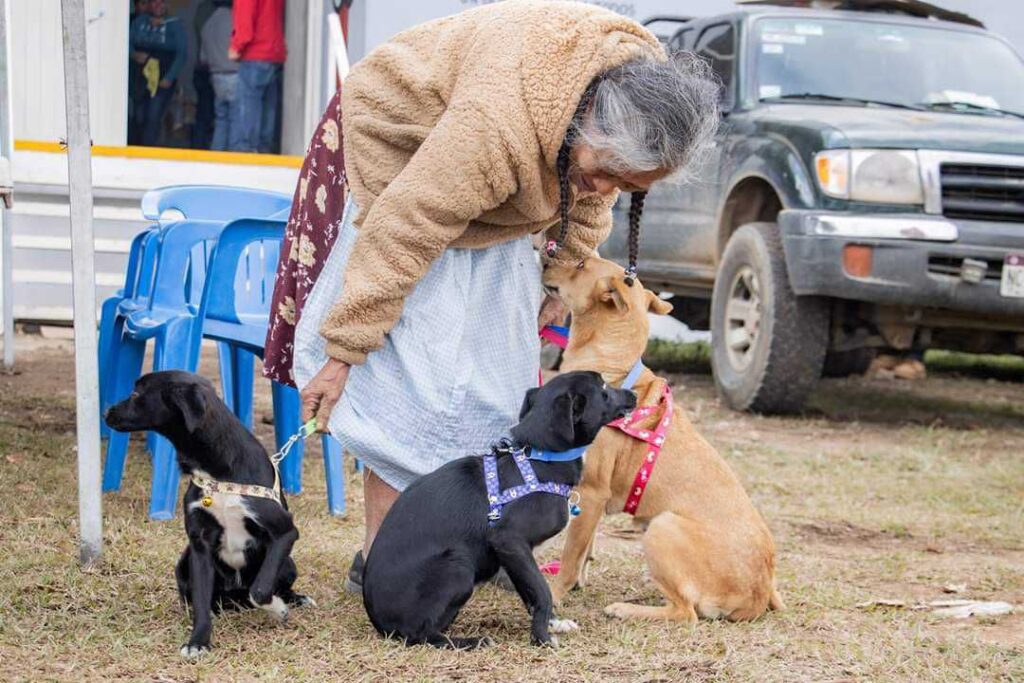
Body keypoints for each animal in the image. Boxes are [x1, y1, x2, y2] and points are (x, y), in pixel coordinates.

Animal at [104, 370, 313, 659]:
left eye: (136, 394)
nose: (106, 412)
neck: (217, 473)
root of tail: (233, 598)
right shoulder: (199, 544)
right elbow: (201, 600)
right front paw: (198, 640)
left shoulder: (284, 532)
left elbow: (260, 590)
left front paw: (278, 608)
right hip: (183, 562)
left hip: (288, 563)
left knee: (266, 587)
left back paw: (294, 599)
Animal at [360, 370, 630, 651]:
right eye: (604, 389)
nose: (632, 395)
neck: (541, 459)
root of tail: (380, 622)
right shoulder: (509, 539)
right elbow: (543, 590)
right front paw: (542, 638)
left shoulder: (513, 554)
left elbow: (531, 592)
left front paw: (553, 623)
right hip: (458, 566)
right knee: (419, 634)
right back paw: (471, 640)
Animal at [544, 255, 782, 626]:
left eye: (581, 263)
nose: (546, 256)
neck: (612, 367)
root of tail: (758, 593)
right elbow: (584, 553)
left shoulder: (592, 493)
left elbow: (570, 560)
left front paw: (554, 597)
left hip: (661, 527)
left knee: (686, 613)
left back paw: (626, 609)